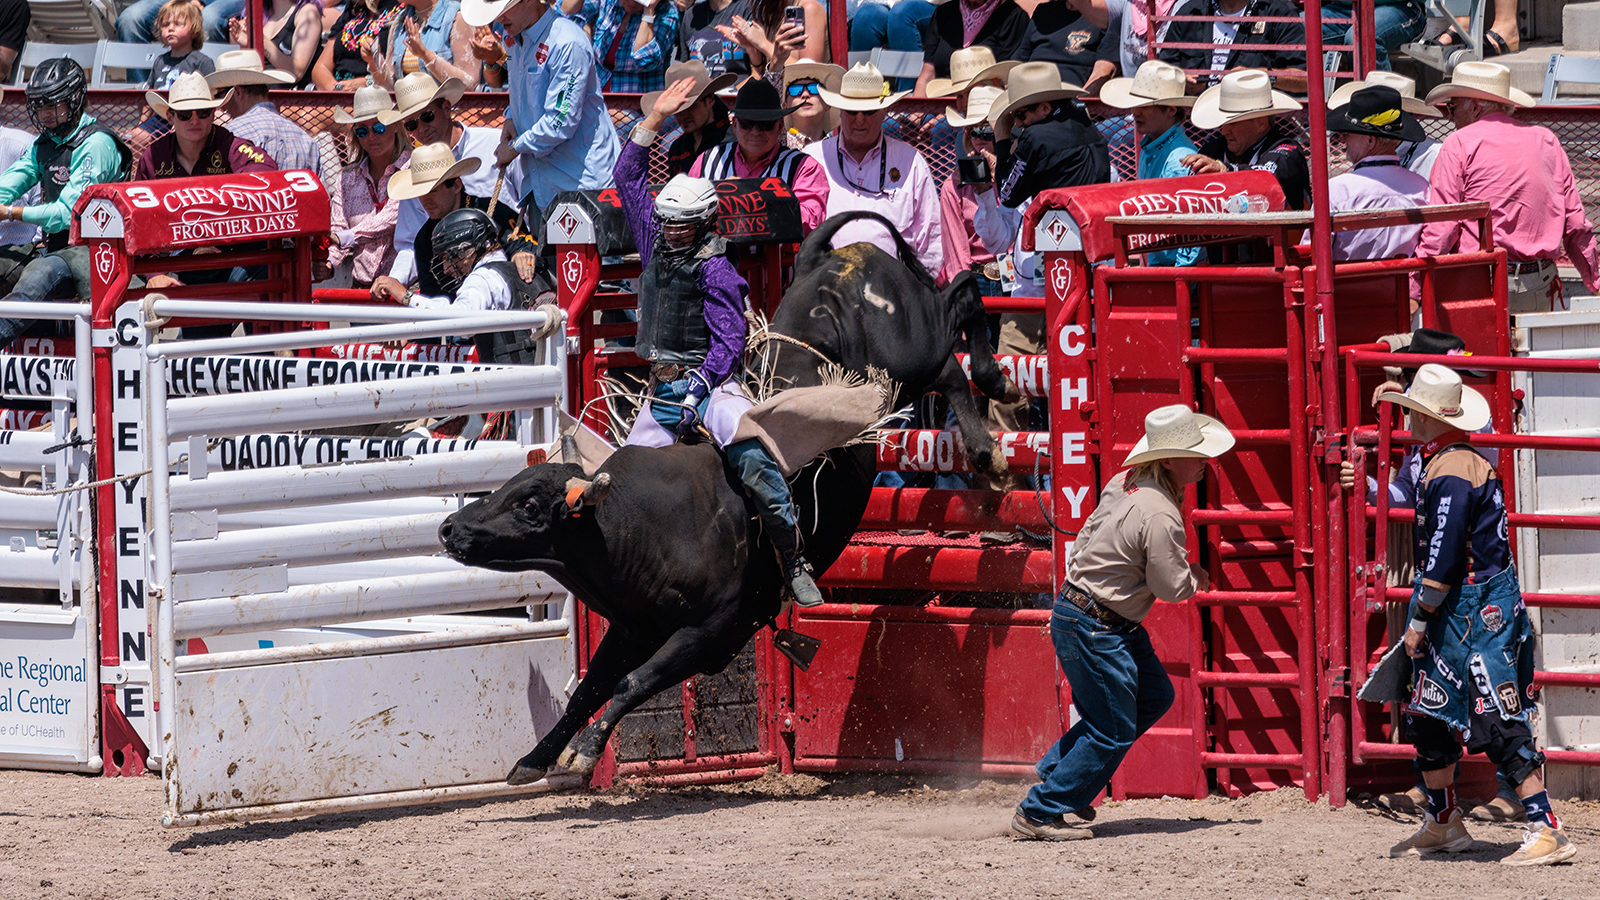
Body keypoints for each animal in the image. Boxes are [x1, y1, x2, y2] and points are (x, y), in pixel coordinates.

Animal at [438, 211, 1011, 784]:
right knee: (953, 331)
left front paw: (583, 751)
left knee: (959, 314)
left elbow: (629, 684)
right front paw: (534, 759)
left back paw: (991, 416)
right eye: (507, 489)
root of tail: (839, 256)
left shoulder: (711, 632)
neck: (634, 526)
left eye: (530, 507)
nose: (449, 528)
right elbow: (588, 690)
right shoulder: (631, 630)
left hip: (912, 355)